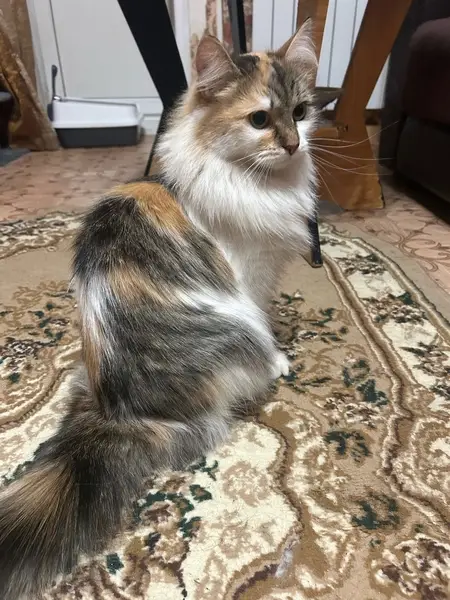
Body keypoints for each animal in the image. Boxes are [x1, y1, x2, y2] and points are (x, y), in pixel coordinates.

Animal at [0, 21, 334, 600]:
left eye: (301, 112)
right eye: (259, 120)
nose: (294, 145)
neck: (254, 182)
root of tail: (120, 411)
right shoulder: (247, 279)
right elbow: (267, 326)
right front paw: (282, 355)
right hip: (233, 320)